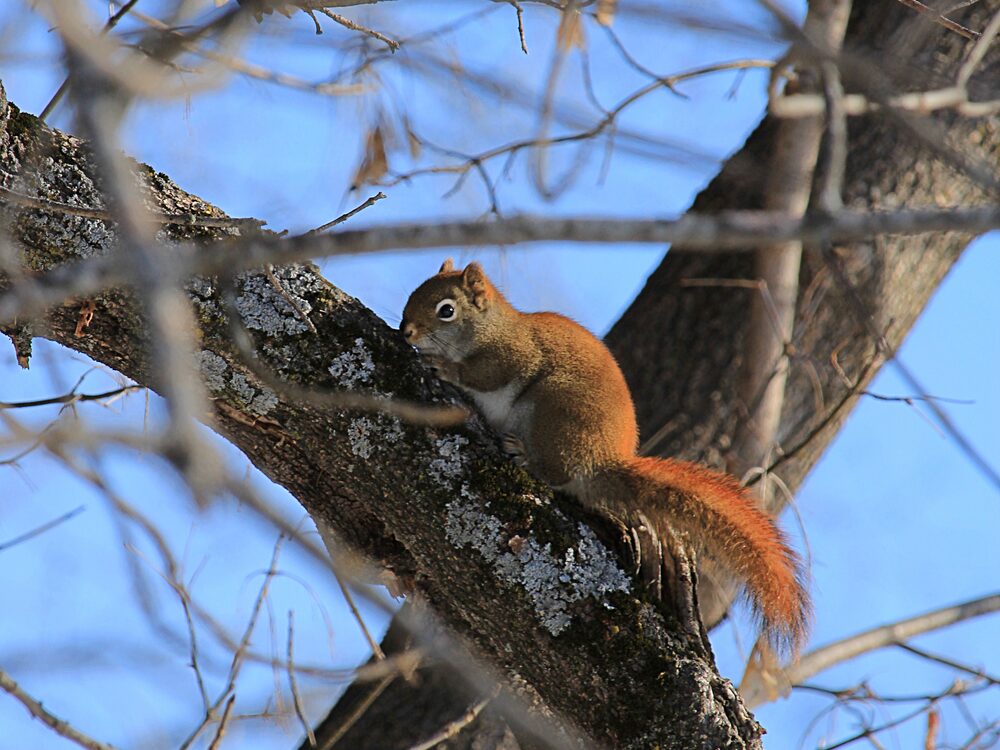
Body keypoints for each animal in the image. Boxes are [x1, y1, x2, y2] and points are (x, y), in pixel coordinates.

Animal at [401, 259, 809, 650]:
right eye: (412, 293)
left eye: (446, 310)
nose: (406, 332)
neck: (490, 328)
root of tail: (602, 461)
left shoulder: (512, 354)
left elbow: (484, 374)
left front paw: (445, 367)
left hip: (554, 410)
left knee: (556, 472)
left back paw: (525, 455)